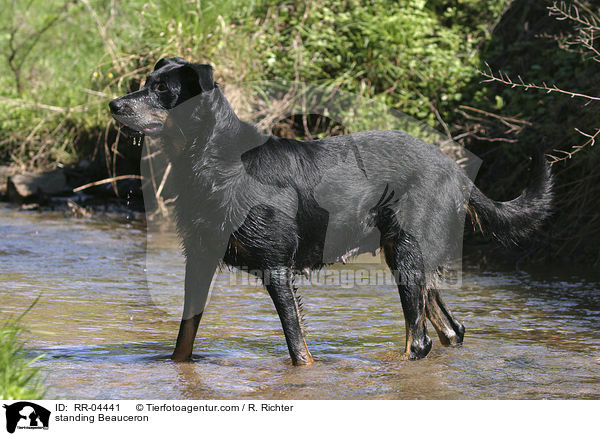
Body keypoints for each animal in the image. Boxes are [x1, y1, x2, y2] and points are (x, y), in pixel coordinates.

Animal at [109, 58, 552, 364]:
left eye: (160, 89)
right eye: (144, 84)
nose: (114, 104)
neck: (213, 159)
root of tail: (458, 172)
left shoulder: (277, 266)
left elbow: (297, 348)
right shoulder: (199, 258)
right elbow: (183, 340)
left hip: (407, 254)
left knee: (420, 339)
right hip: (410, 255)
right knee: (450, 329)